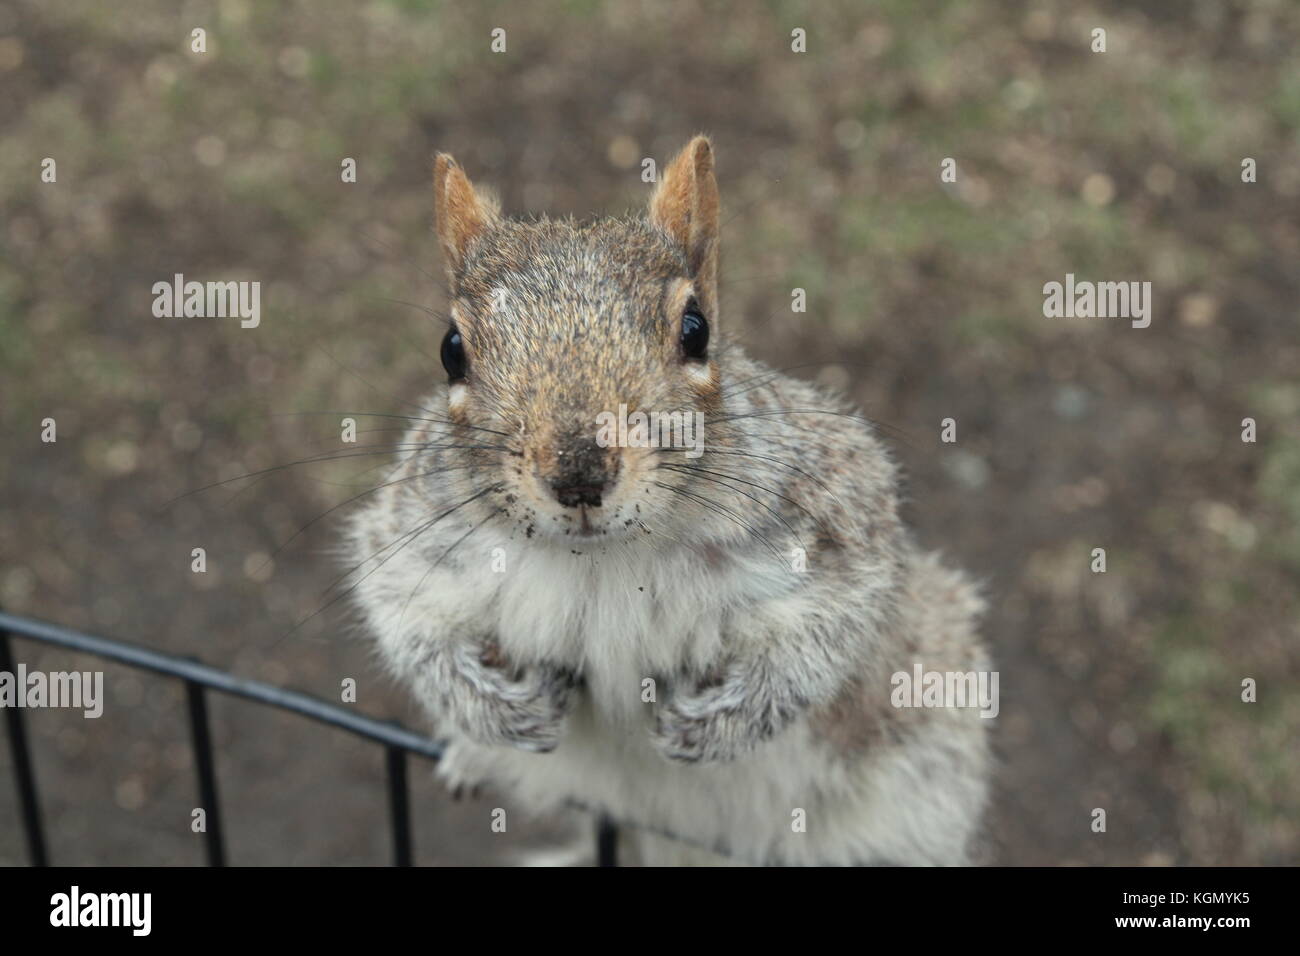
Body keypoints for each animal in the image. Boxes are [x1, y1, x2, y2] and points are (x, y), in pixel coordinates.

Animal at [340, 136, 987, 868]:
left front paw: (721, 721)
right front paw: (497, 708)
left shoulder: (836, 510)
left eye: (695, 329)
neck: (603, 559)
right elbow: (405, 618)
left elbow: (832, 630)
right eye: (451, 350)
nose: (580, 475)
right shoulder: (414, 531)